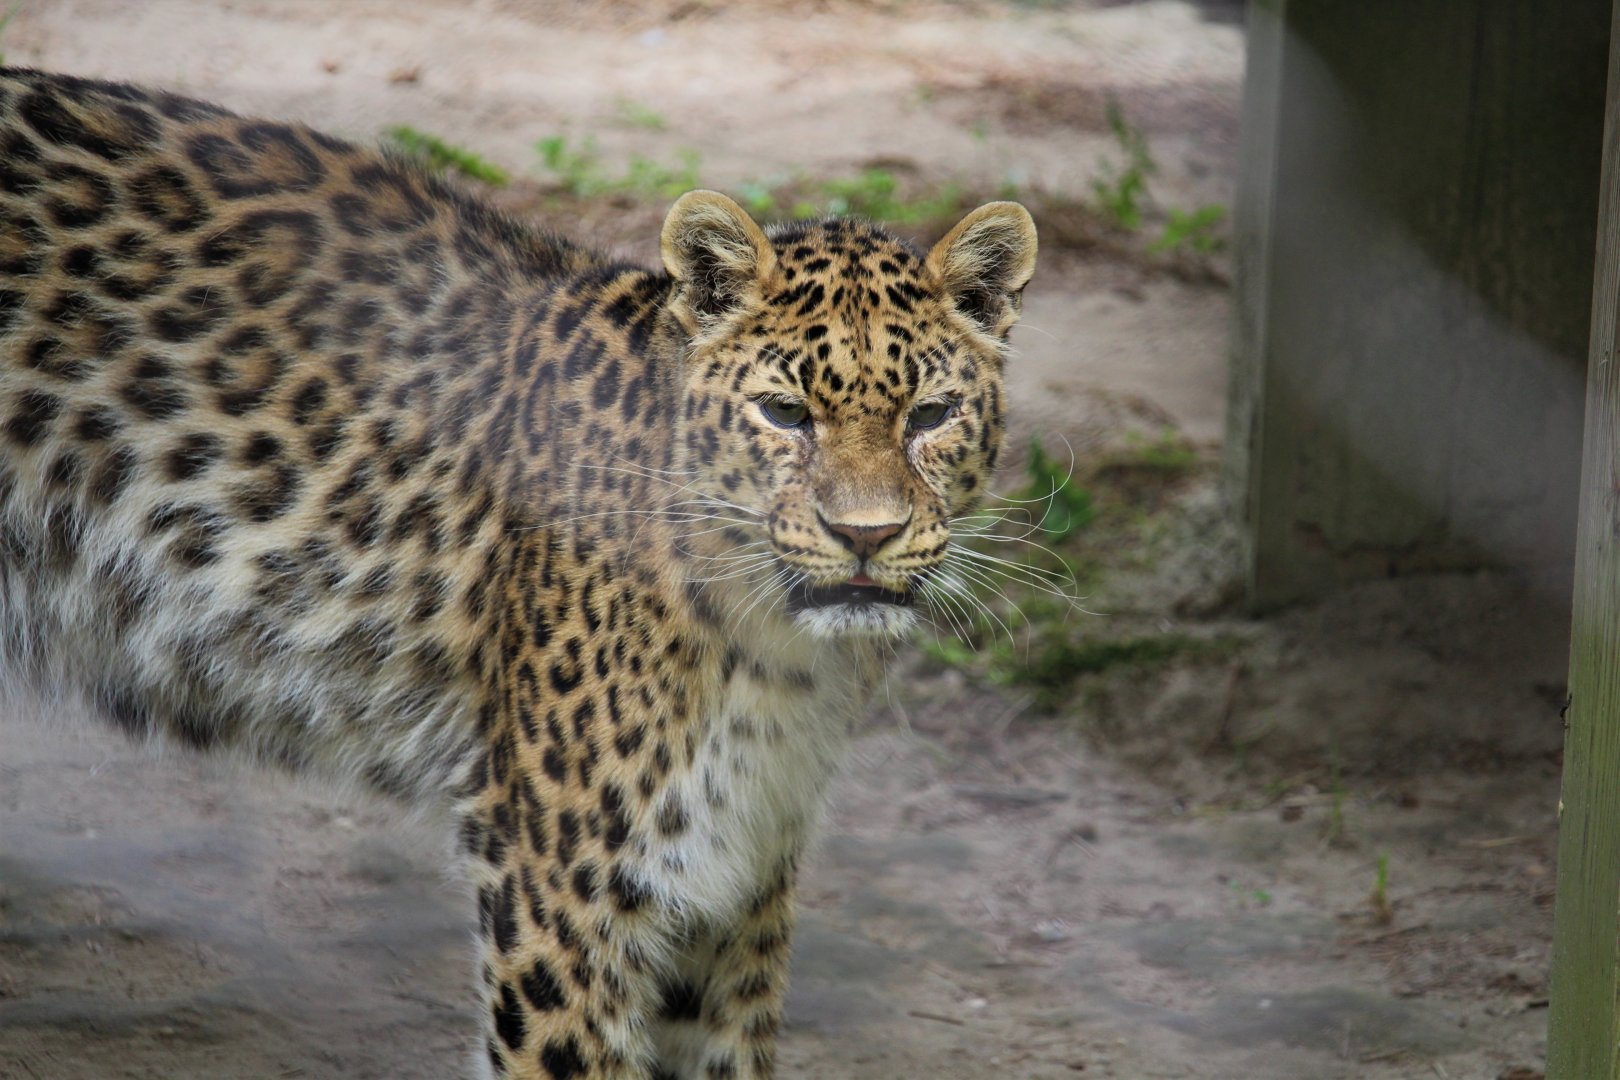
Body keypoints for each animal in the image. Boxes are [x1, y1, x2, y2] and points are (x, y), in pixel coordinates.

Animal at [0, 67, 1037, 1079]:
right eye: (785, 414)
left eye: (931, 415)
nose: (866, 535)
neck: (775, 653)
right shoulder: (565, 883)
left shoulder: (739, 880)